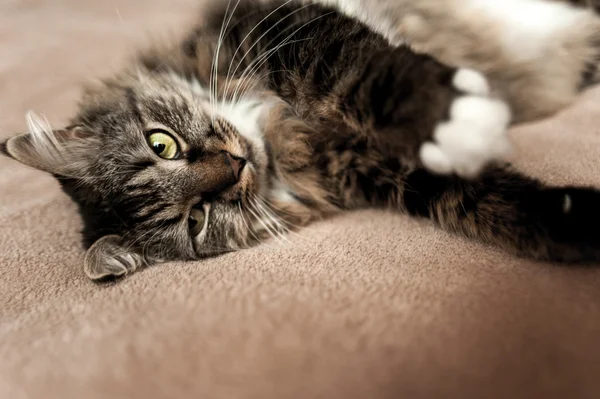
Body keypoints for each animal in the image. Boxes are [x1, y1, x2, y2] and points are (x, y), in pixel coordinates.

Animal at [1, 0, 600, 282]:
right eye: (196, 220)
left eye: (161, 144)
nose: (234, 166)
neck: (283, 136)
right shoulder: (376, 167)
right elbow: (485, 204)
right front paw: (577, 221)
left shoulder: (277, 26)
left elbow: (358, 69)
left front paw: (449, 115)